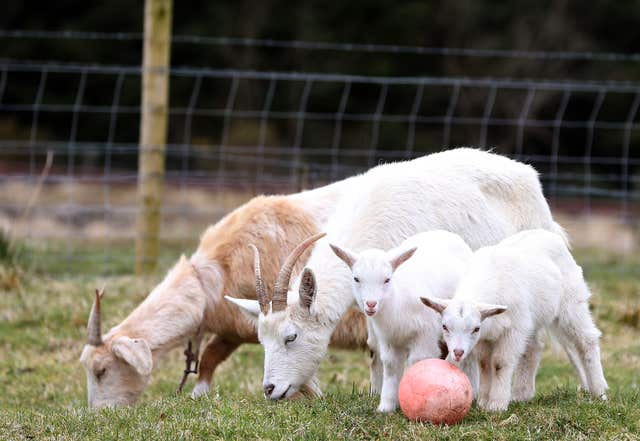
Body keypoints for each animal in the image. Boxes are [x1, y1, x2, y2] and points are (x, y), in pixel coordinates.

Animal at [330, 230, 476, 412]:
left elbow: (416, 362)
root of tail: (444, 233)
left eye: (387, 279)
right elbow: (390, 366)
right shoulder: (388, 340)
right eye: (356, 278)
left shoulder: (425, 336)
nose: (371, 304)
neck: (397, 305)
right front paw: (386, 406)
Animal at [422, 229, 608, 410]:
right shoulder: (485, 338)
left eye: (475, 328)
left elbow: (500, 363)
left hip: (571, 304)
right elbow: (484, 363)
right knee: (533, 348)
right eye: (444, 326)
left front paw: (496, 404)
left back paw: (599, 392)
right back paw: (521, 394)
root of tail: (549, 234)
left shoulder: (513, 329)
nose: (458, 352)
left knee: (587, 340)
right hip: (533, 319)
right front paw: (483, 401)